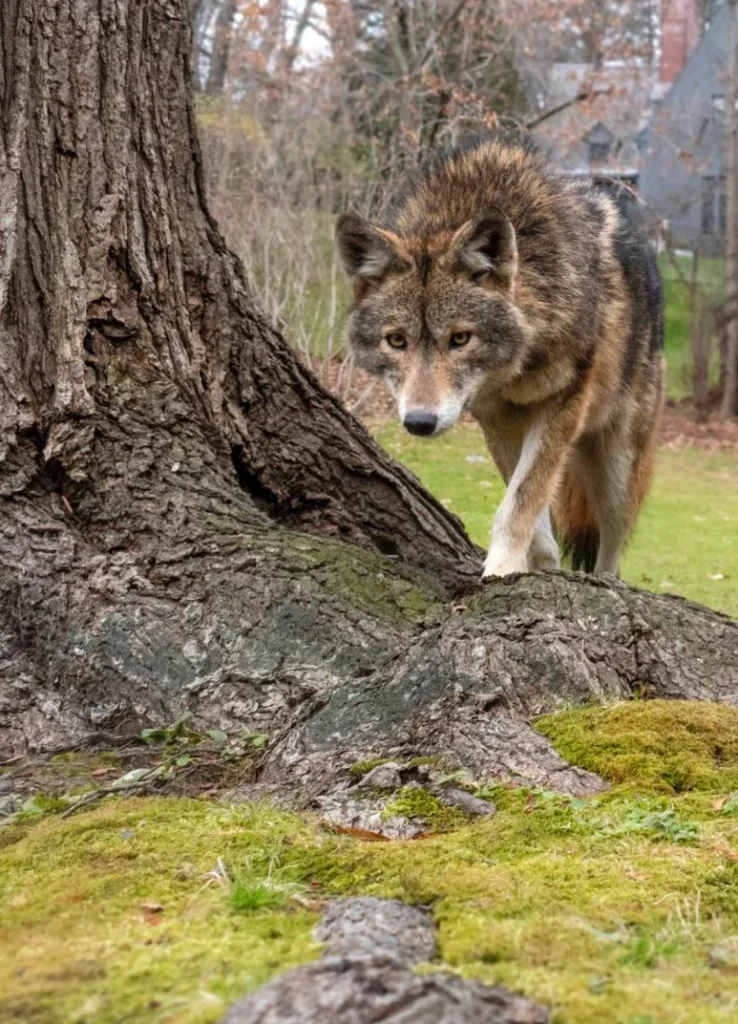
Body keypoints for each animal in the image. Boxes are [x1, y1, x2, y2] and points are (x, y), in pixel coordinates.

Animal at [337, 135, 663, 577]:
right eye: (397, 341)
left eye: (460, 339)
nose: (420, 422)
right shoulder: (497, 420)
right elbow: (527, 506)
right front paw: (537, 566)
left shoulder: (560, 408)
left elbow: (519, 502)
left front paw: (501, 569)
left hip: (618, 468)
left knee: (612, 550)